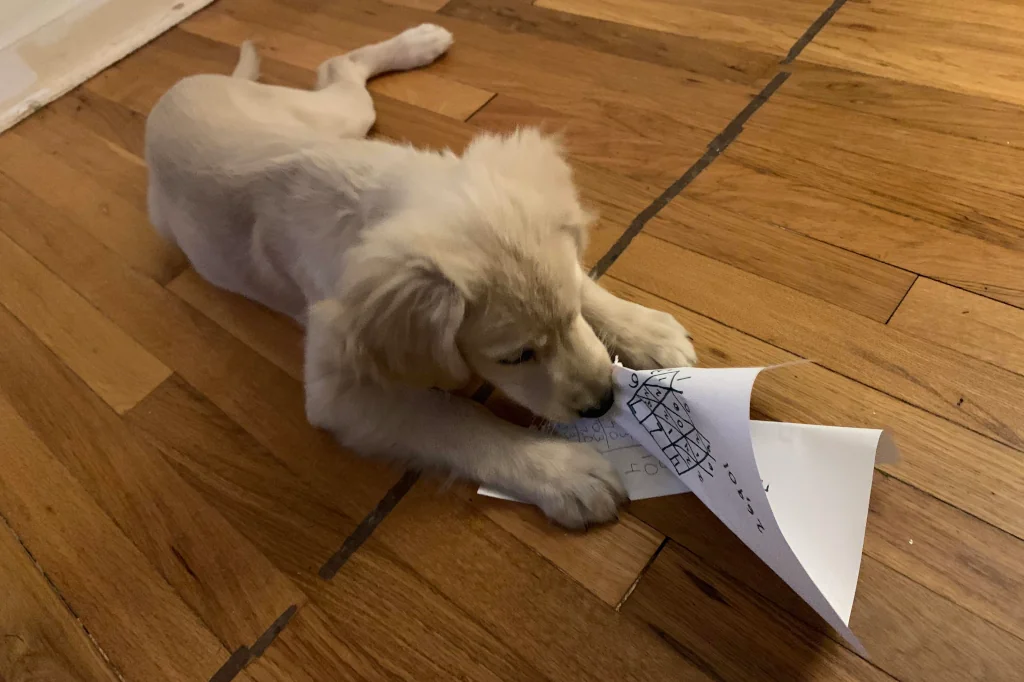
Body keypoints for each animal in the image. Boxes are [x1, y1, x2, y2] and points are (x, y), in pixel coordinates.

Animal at [146, 25, 696, 524]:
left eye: (572, 315)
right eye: (515, 357)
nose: (604, 403)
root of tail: (174, 91)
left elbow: (578, 278)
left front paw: (644, 331)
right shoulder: (339, 392)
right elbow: (455, 417)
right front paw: (560, 471)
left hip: (339, 116)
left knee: (339, 64)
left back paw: (421, 40)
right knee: (335, 64)